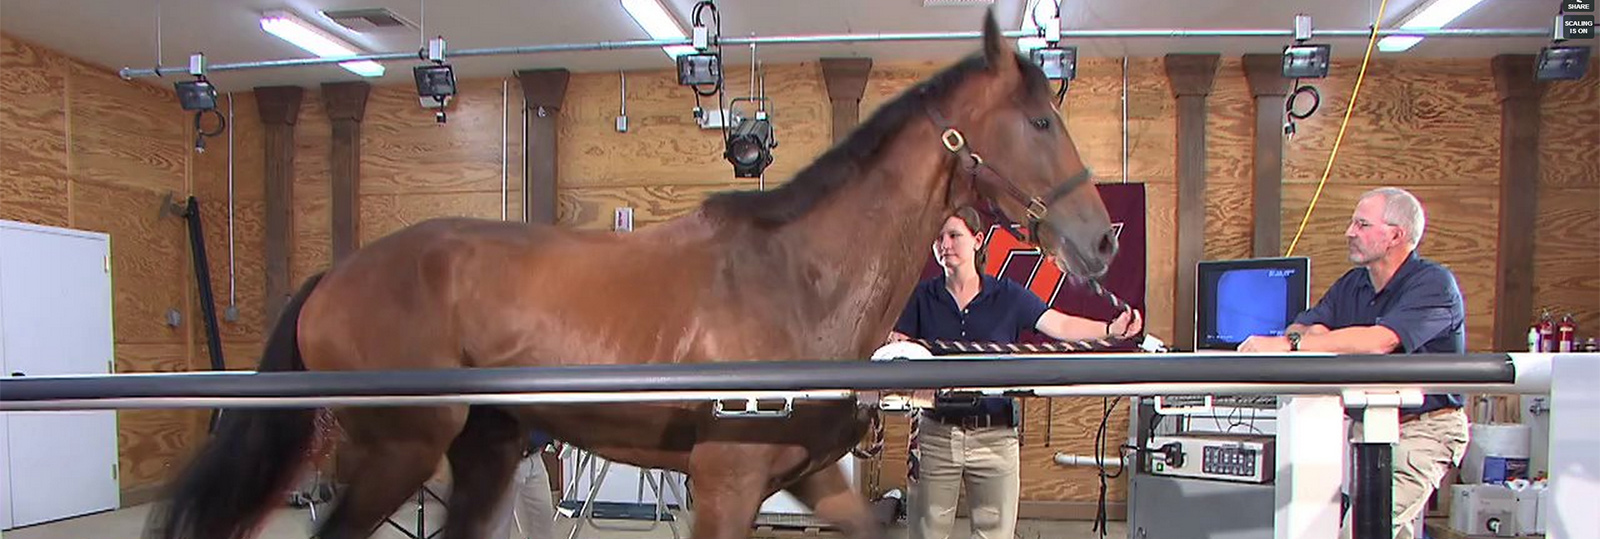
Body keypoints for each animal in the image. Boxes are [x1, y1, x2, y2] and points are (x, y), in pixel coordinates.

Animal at [147, 9, 1113, 539]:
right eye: (1037, 120)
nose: (1100, 242)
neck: (798, 276)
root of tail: (332, 279)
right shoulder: (724, 482)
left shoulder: (812, 476)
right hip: (399, 450)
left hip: (483, 450)